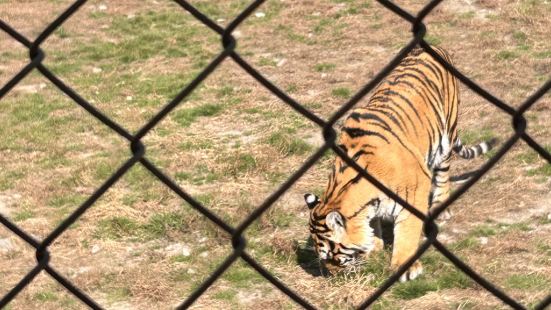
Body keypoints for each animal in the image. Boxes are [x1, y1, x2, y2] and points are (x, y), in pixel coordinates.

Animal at [304, 45, 498, 280]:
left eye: (332, 255)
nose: (331, 275)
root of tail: (434, 46)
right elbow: (373, 224)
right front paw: (375, 246)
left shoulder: (415, 192)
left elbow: (407, 232)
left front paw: (405, 267)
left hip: (445, 138)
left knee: (443, 175)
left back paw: (441, 207)